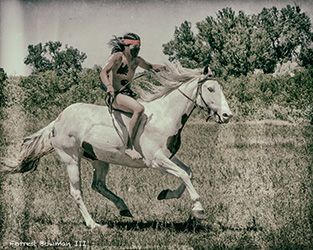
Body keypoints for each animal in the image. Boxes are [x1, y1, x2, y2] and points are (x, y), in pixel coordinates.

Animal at [1, 64, 232, 229]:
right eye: (210, 88)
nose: (227, 115)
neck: (165, 116)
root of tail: (56, 121)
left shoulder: (168, 156)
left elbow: (188, 172)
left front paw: (165, 194)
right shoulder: (156, 160)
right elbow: (183, 175)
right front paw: (198, 209)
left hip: (100, 160)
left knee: (98, 185)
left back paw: (124, 208)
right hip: (71, 158)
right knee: (77, 192)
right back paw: (93, 224)